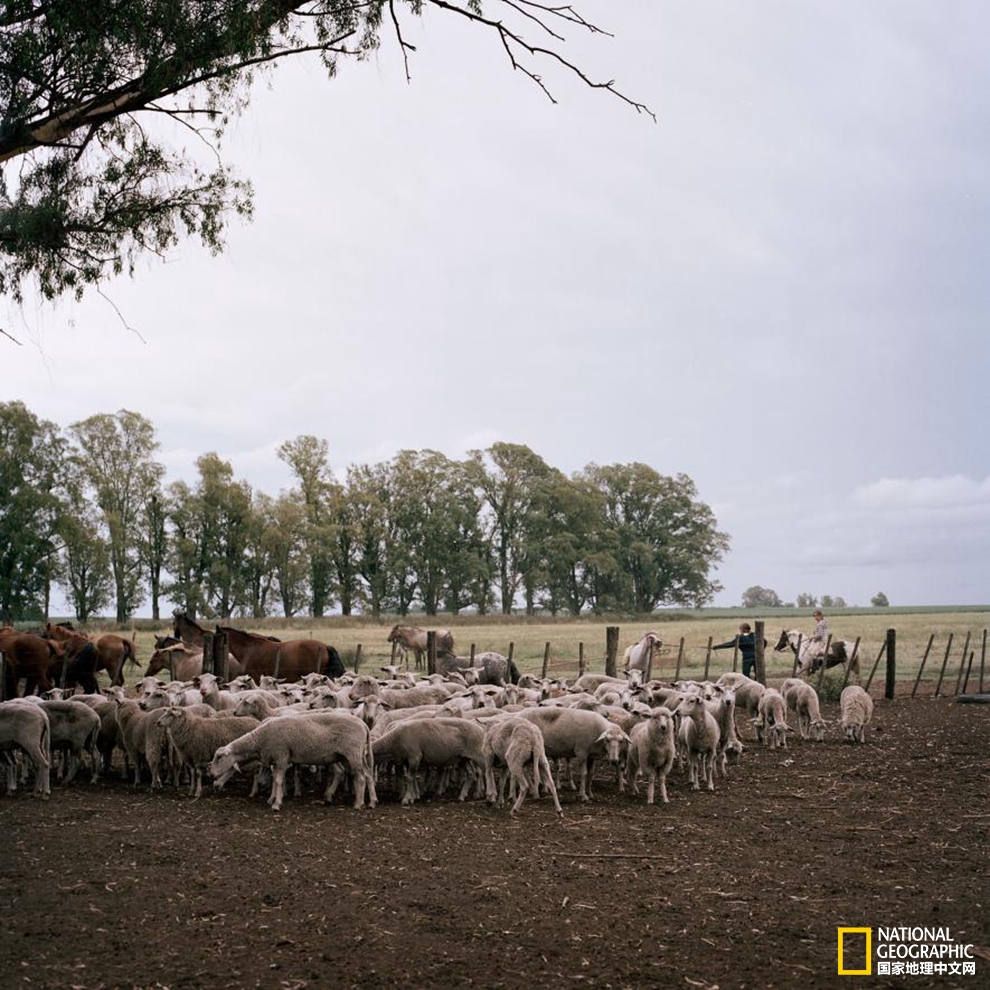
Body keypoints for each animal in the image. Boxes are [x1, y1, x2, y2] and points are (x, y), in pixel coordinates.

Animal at [211, 712, 378, 812]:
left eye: (219, 757)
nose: (211, 774)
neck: (259, 739)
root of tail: (363, 724)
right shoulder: (277, 759)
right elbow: (275, 780)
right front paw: (272, 799)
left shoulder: (281, 756)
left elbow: (278, 781)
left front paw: (276, 804)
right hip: (347, 756)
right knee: (366, 775)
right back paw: (371, 802)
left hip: (353, 753)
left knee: (360, 777)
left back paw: (358, 804)